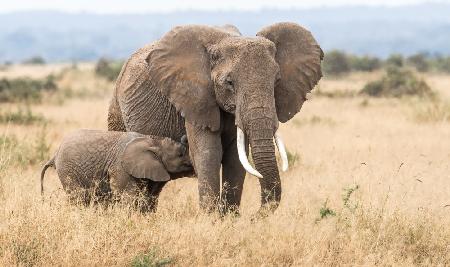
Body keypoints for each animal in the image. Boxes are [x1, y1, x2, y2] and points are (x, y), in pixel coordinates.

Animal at [40, 131, 192, 213]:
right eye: (180, 154)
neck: (153, 140)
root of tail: (55, 154)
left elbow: (149, 197)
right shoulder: (120, 167)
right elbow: (128, 197)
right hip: (68, 170)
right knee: (78, 197)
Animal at [107, 23, 322, 216]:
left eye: (277, 81)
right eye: (229, 83)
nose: (253, 217)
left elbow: (236, 158)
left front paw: (229, 219)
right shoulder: (195, 99)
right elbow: (208, 153)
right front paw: (210, 220)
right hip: (116, 109)